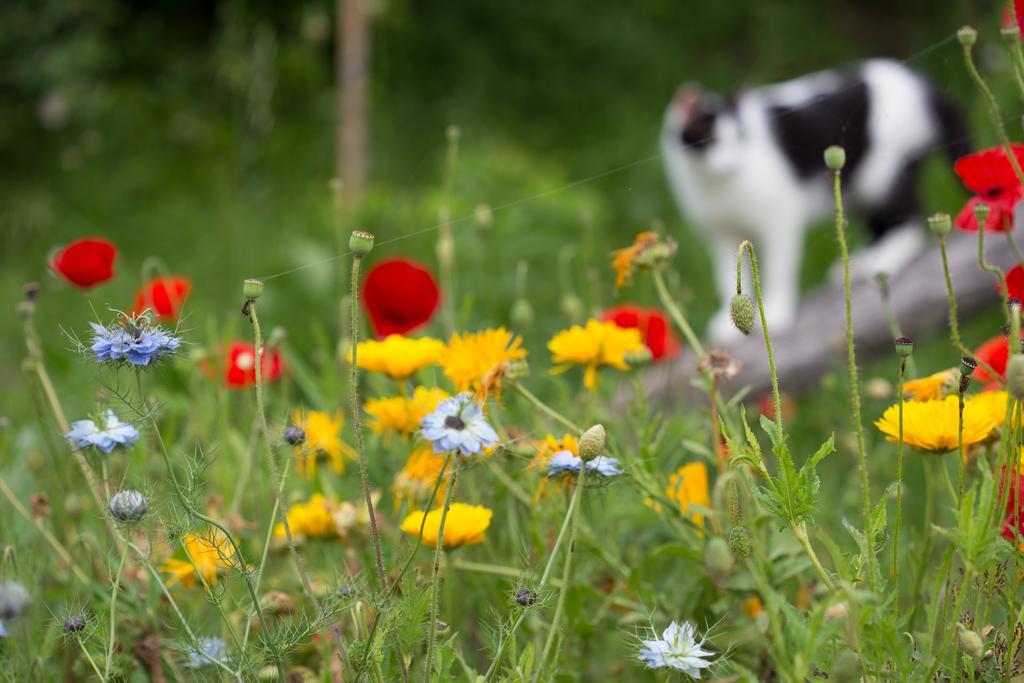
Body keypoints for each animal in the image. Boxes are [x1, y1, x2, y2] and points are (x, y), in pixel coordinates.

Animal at [663, 58, 966, 342]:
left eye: (741, 137)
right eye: (709, 138)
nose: (733, 163)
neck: (715, 183)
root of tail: (921, 83)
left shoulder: (780, 217)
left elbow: (780, 267)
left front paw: (776, 312)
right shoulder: (721, 234)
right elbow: (726, 274)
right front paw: (728, 326)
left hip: (884, 174)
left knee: (908, 217)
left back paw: (882, 260)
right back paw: (859, 261)